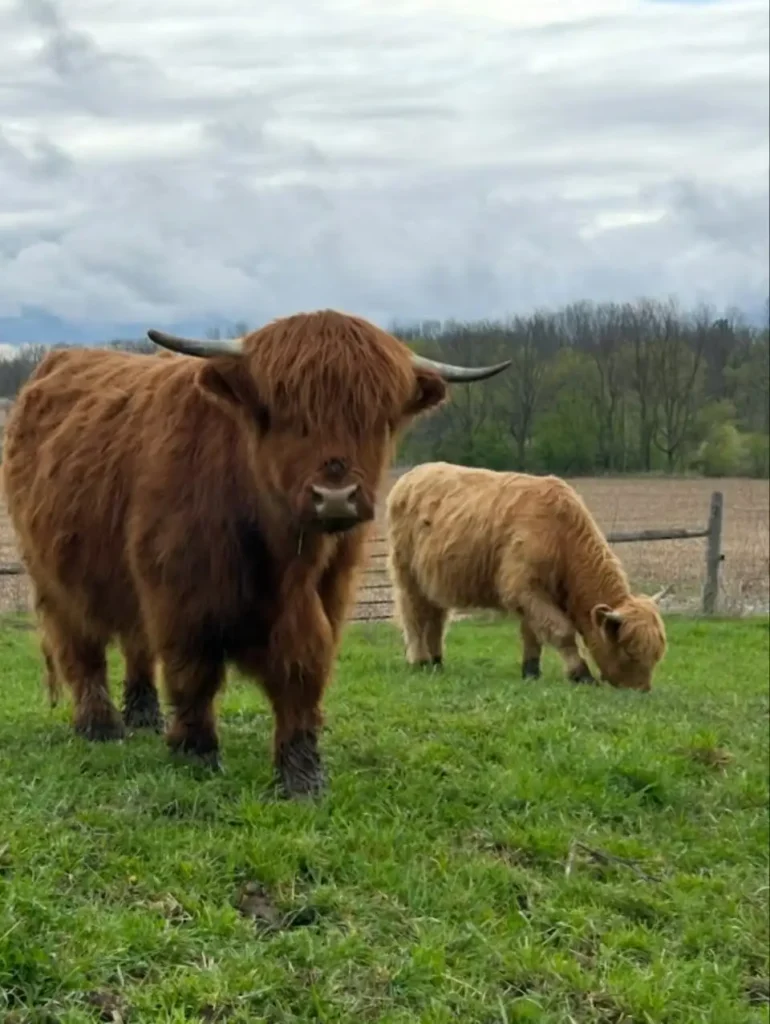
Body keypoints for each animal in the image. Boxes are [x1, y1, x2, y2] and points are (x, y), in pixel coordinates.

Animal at [2, 311, 511, 798]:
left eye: (378, 416)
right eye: (283, 412)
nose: (336, 497)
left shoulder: (323, 594)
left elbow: (302, 672)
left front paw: (302, 774)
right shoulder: (181, 594)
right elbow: (193, 673)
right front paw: (195, 751)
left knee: (135, 645)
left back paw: (144, 716)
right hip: (54, 578)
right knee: (81, 648)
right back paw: (100, 725)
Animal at [386, 462, 669, 691]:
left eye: (657, 654)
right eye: (630, 652)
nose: (641, 690)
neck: (561, 536)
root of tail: (411, 475)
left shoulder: (530, 595)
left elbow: (532, 634)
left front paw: (531, 671)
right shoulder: (524, 588)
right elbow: (561, 631)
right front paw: (581, 673)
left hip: (434, 581)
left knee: (436, 618)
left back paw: (437, 661)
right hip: (407, 574)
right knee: (413, 616)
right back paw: (420, 660)